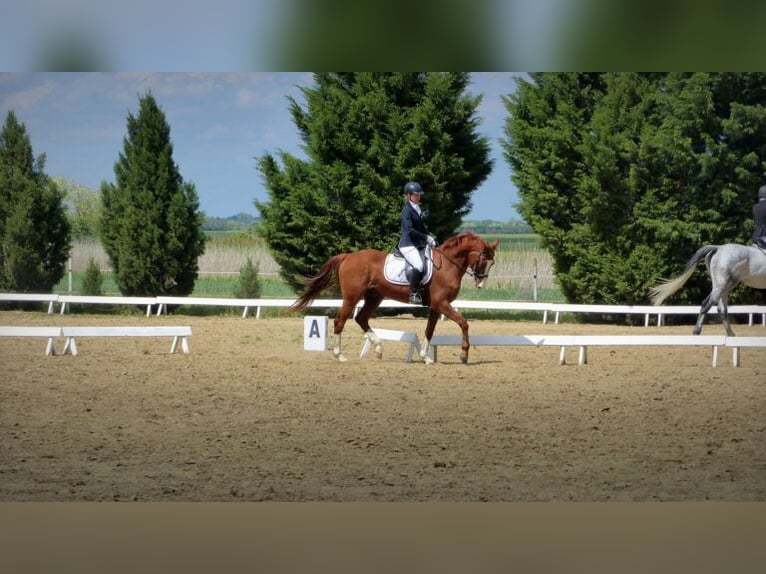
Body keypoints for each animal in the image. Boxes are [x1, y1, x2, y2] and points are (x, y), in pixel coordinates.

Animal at [292, 231, 500, 362]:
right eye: (483, 259)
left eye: (493, 263)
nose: (480, 284)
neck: (448, 265)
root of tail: (348, 256)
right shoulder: (442, 304)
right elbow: (464, 323)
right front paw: (464, 354)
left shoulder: (436, 306)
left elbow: (429, 331)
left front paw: (426, 357)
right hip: (352, 297)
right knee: (340, 321)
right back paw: (339, 355)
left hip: (374, 297)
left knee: (361, 318)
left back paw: (378, 348)